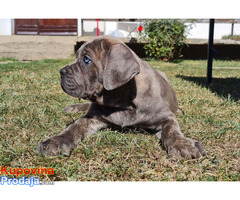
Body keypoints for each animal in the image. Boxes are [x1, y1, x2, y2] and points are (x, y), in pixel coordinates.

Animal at [36, 34, 205, 159]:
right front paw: (55, 142)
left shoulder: (166, 117)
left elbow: (172, 131)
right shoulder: (92, 117)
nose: (61, 71)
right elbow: (74, 127)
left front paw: (183, 145)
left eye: (86, 60)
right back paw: (72, 107)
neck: (124, 102)